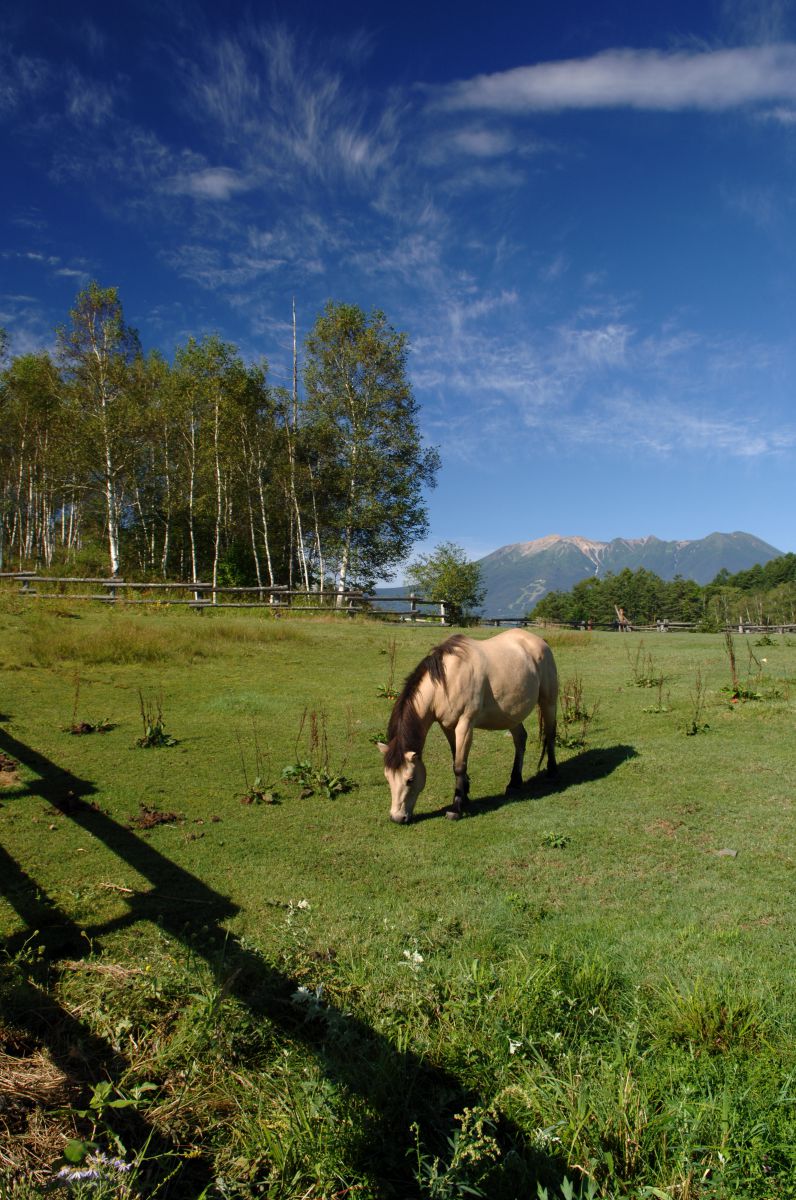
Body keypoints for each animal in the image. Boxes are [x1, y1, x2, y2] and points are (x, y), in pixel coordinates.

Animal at [379, 633, 554, 820]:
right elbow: (456, 758)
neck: (446, 681)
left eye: (410, 779)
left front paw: (456, 808)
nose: (397, 818)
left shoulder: (465, 724)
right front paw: (465, 795)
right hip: (512, 715)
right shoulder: (447, 726)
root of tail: (537, 640)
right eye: (388, 778)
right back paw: (514, 783)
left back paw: (552, 772)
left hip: (548, 701)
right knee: (520, 739)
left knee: (550, 734)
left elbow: (459, 766)